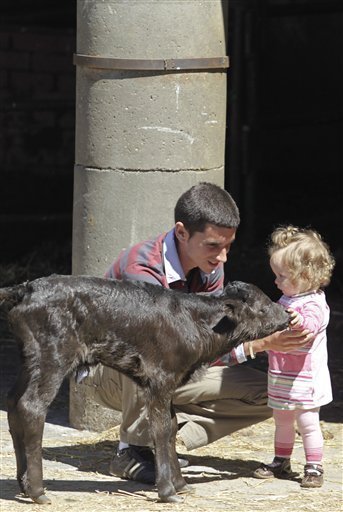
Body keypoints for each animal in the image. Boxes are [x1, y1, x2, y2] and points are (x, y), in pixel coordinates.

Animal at [0, 276, 290, 504]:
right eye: (263, 307)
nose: (287, 315)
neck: (194, 323)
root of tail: (26, 288)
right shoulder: (160, 380)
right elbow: (160, 428)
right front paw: (167, 490)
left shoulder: (169, 383)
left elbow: (171, 426)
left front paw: (181, 484)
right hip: (53, 358)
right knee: (32, 407)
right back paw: (38, 491)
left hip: (31, 361)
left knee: (13, 401)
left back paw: (24, 484)